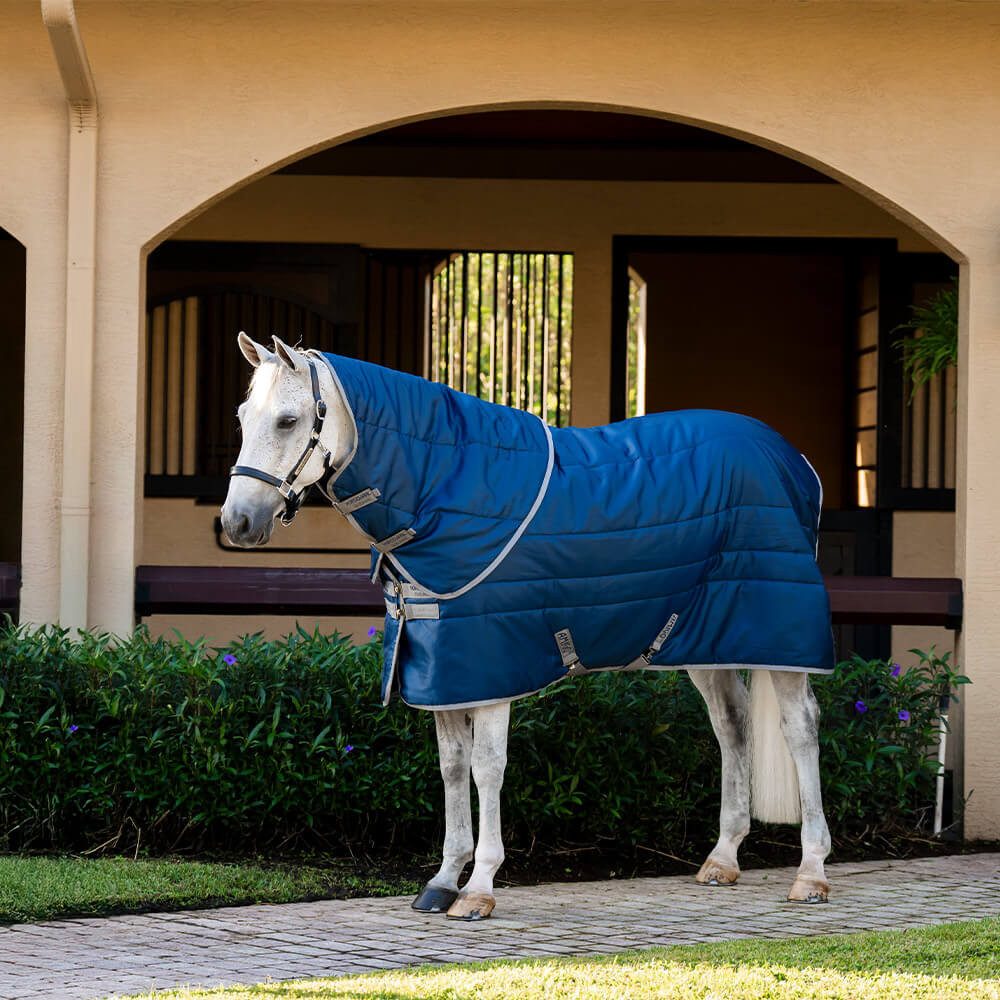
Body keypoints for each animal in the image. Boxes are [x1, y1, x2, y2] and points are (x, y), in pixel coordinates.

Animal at [221, 332, 833, 921]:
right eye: (243, 416)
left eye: (288, 420)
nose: (237, 522)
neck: (442, 487)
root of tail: (795, 460)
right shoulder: (443, 669)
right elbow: (452, 768)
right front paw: (443, 880)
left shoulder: (490, 668)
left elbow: (486, 769)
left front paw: (479, 889)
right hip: (707, 640)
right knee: (732, 726)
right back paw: (722, 859)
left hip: (780, 636)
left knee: (800, 728)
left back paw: (811, 874)